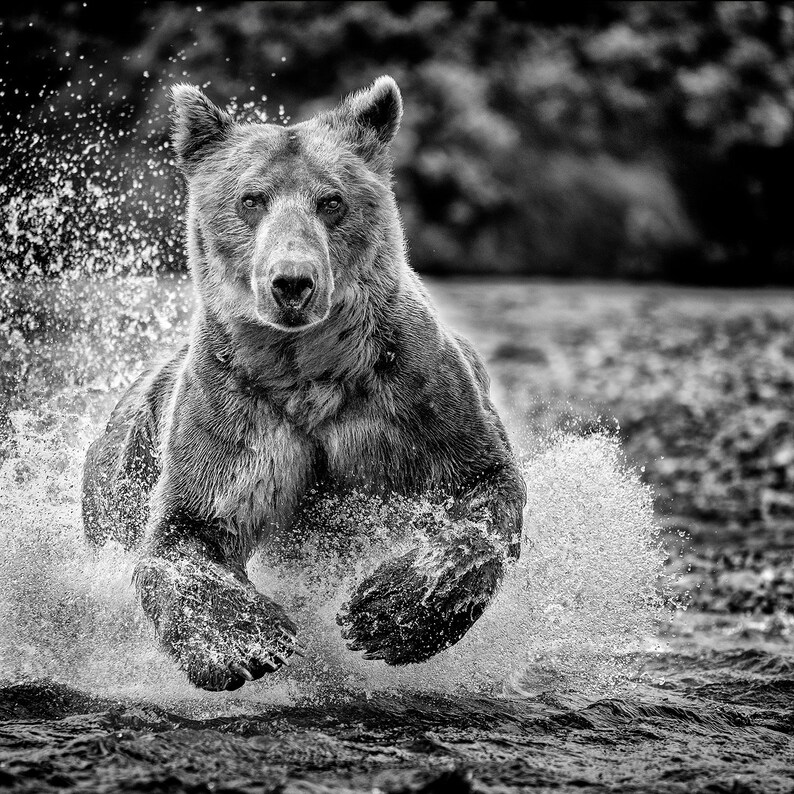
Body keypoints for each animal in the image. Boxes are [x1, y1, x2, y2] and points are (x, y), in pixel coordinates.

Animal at [81, 76, 527, 691]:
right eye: (251, 198)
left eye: (331, 200)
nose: (292, 282)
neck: (307, 370)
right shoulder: (237, 411)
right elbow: (186, 529)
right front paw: (241, 643)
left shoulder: (410, 397)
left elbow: (484, 487)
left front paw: (383, 614)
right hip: (125, 468)